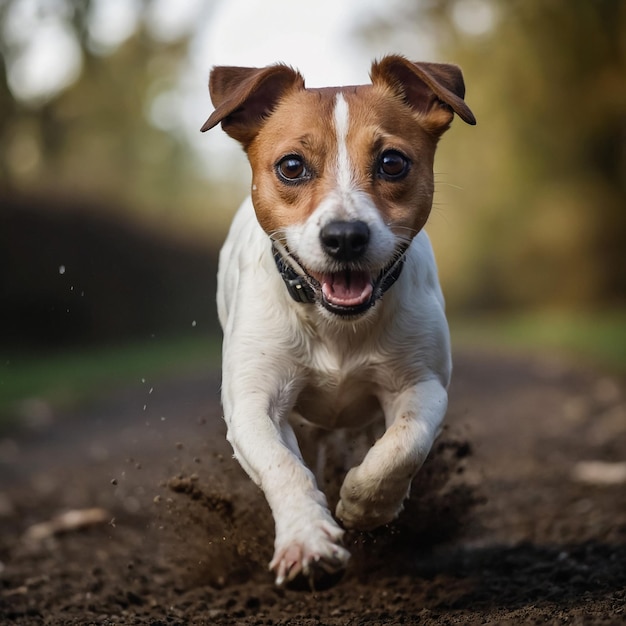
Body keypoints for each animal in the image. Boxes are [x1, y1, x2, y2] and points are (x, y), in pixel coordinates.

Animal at [201, 56, 472, 584]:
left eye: (392, 162)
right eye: (291, 166)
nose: (345, 236)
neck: (337, 325)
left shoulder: (423, 385)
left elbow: (401, 447)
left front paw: (363, 504)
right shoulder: (254, 403)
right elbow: (284, 466)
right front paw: (307, 539)